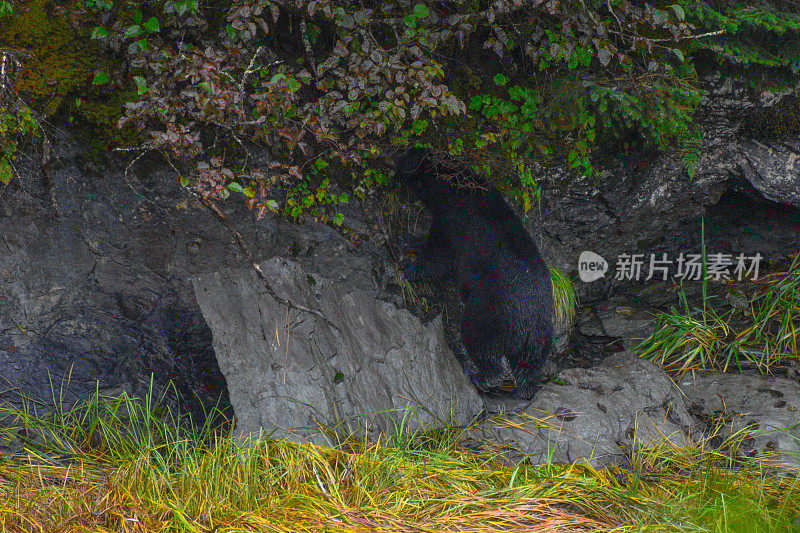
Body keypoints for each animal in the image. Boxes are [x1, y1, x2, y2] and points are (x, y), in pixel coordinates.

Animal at [396, 148, 552, 396]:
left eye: (406, 154)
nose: (393, 156)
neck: (455, 189)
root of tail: (527, 322)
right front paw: (408, 239)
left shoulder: (456, 222)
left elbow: (440, 252)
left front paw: (409, 268)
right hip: (541, 335)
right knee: (530, 363)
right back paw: (525, 388)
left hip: (489, 312)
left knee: (479, 340)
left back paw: (481, 376)